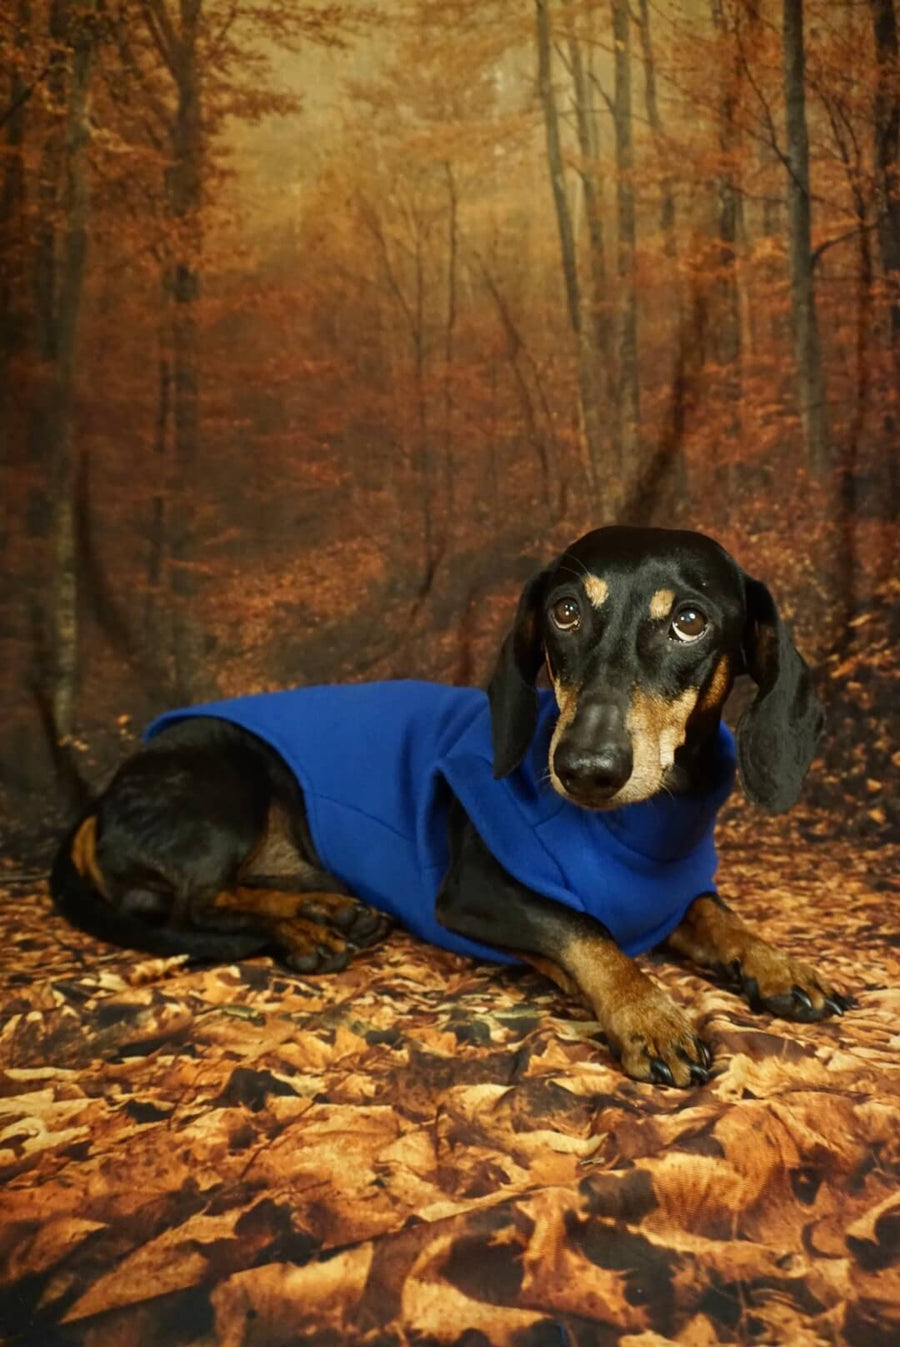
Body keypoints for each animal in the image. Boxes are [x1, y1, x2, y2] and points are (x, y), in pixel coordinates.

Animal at [52, 522, 856, 1082]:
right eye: (565, 611)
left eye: (690, 621)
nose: (583, 769)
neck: (639, 823)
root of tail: (103, 797)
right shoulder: (476, 893)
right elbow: (587, 931)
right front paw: (649, 1014)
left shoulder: (672, 892)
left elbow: (720, 915)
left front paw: (779, 965)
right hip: (228, 784)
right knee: (192, 905)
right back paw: (304, 932)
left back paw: (324, 910)